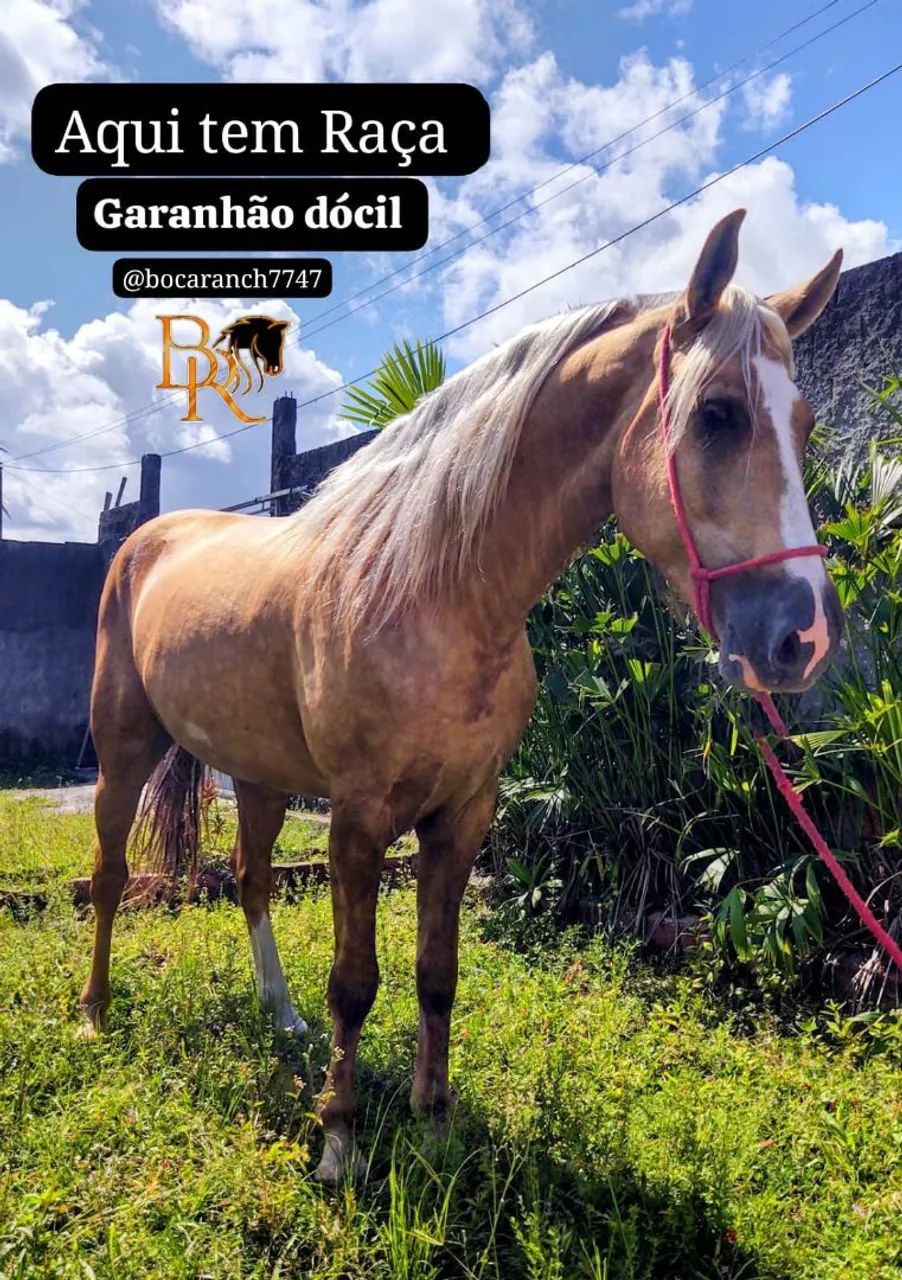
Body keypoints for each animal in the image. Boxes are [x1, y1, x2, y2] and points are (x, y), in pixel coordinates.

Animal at [80, 210, 844, 1184]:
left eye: (805, 423)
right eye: (718, 414)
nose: (804, 637)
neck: (435, 589)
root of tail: (149, 536)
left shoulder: (464, 814)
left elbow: (436, 975)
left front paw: (434, 1125)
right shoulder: (360, 820)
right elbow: (356, 983)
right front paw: (339, 1141)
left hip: (257, 775)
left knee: (250, 880)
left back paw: (281, 1017)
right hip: (124, 754)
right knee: (108, 876)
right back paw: (97, 1010)